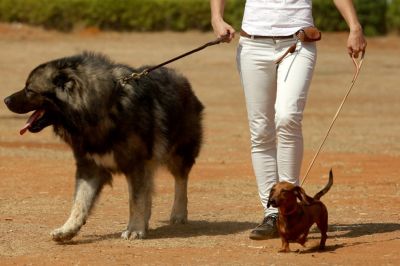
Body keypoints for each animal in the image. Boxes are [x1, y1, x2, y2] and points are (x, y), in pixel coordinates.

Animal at [2, 52, 203, 241]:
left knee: (180, 182)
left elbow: (136, 200)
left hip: (179, 153)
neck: (98, 109)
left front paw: (134, 229)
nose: (5, 100)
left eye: (29, 89)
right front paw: (68, 229)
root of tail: (182, 79)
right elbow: (80, 202)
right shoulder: (90, 167)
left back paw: (178, 213)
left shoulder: (136, 165)